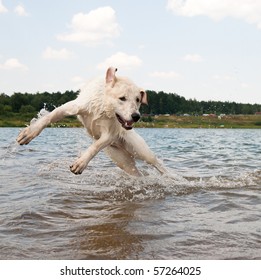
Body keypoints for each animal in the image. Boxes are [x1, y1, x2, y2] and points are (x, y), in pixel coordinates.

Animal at [16, 67, 167, 176]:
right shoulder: (71, 107)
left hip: (141, 151)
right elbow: (49, 117)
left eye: (138, 100)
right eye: (122, 98)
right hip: (123, 161)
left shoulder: (109, 134)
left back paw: (170, 177)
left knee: (158, 164)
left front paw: (81, 163)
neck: (103, 108)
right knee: (138, 174)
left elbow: (95, 146)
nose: (136, 116)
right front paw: (28, 133)